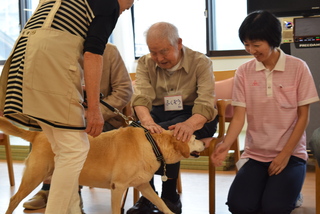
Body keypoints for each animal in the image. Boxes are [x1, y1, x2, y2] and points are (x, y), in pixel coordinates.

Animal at [0, 117, 204, 214]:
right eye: (194, 138)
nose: (204, 143)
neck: (152, 144)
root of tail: (38, 134)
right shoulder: (118, 187)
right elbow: (115, 210)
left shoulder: (143, 185)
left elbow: (161, 203)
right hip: (34, 176)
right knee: (13, 199)